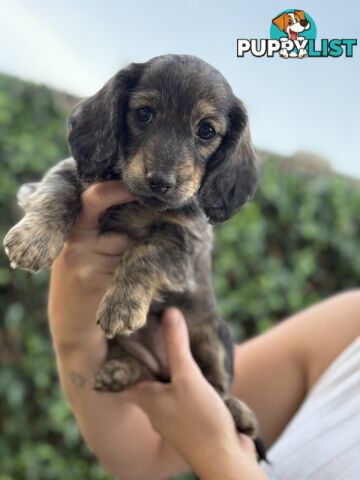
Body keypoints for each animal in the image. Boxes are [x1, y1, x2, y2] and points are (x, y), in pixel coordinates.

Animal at [4, 54, 266, 460]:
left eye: (206, 131)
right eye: (144, 114)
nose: (161, 182)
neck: (140, 202)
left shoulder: (186, 244)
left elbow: (146, 252)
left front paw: (122, 305)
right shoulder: (57, 178)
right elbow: (57, 191)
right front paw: (34, 239)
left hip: (216, 337)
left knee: (216, 386)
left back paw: (237, 411)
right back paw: (120, 371)